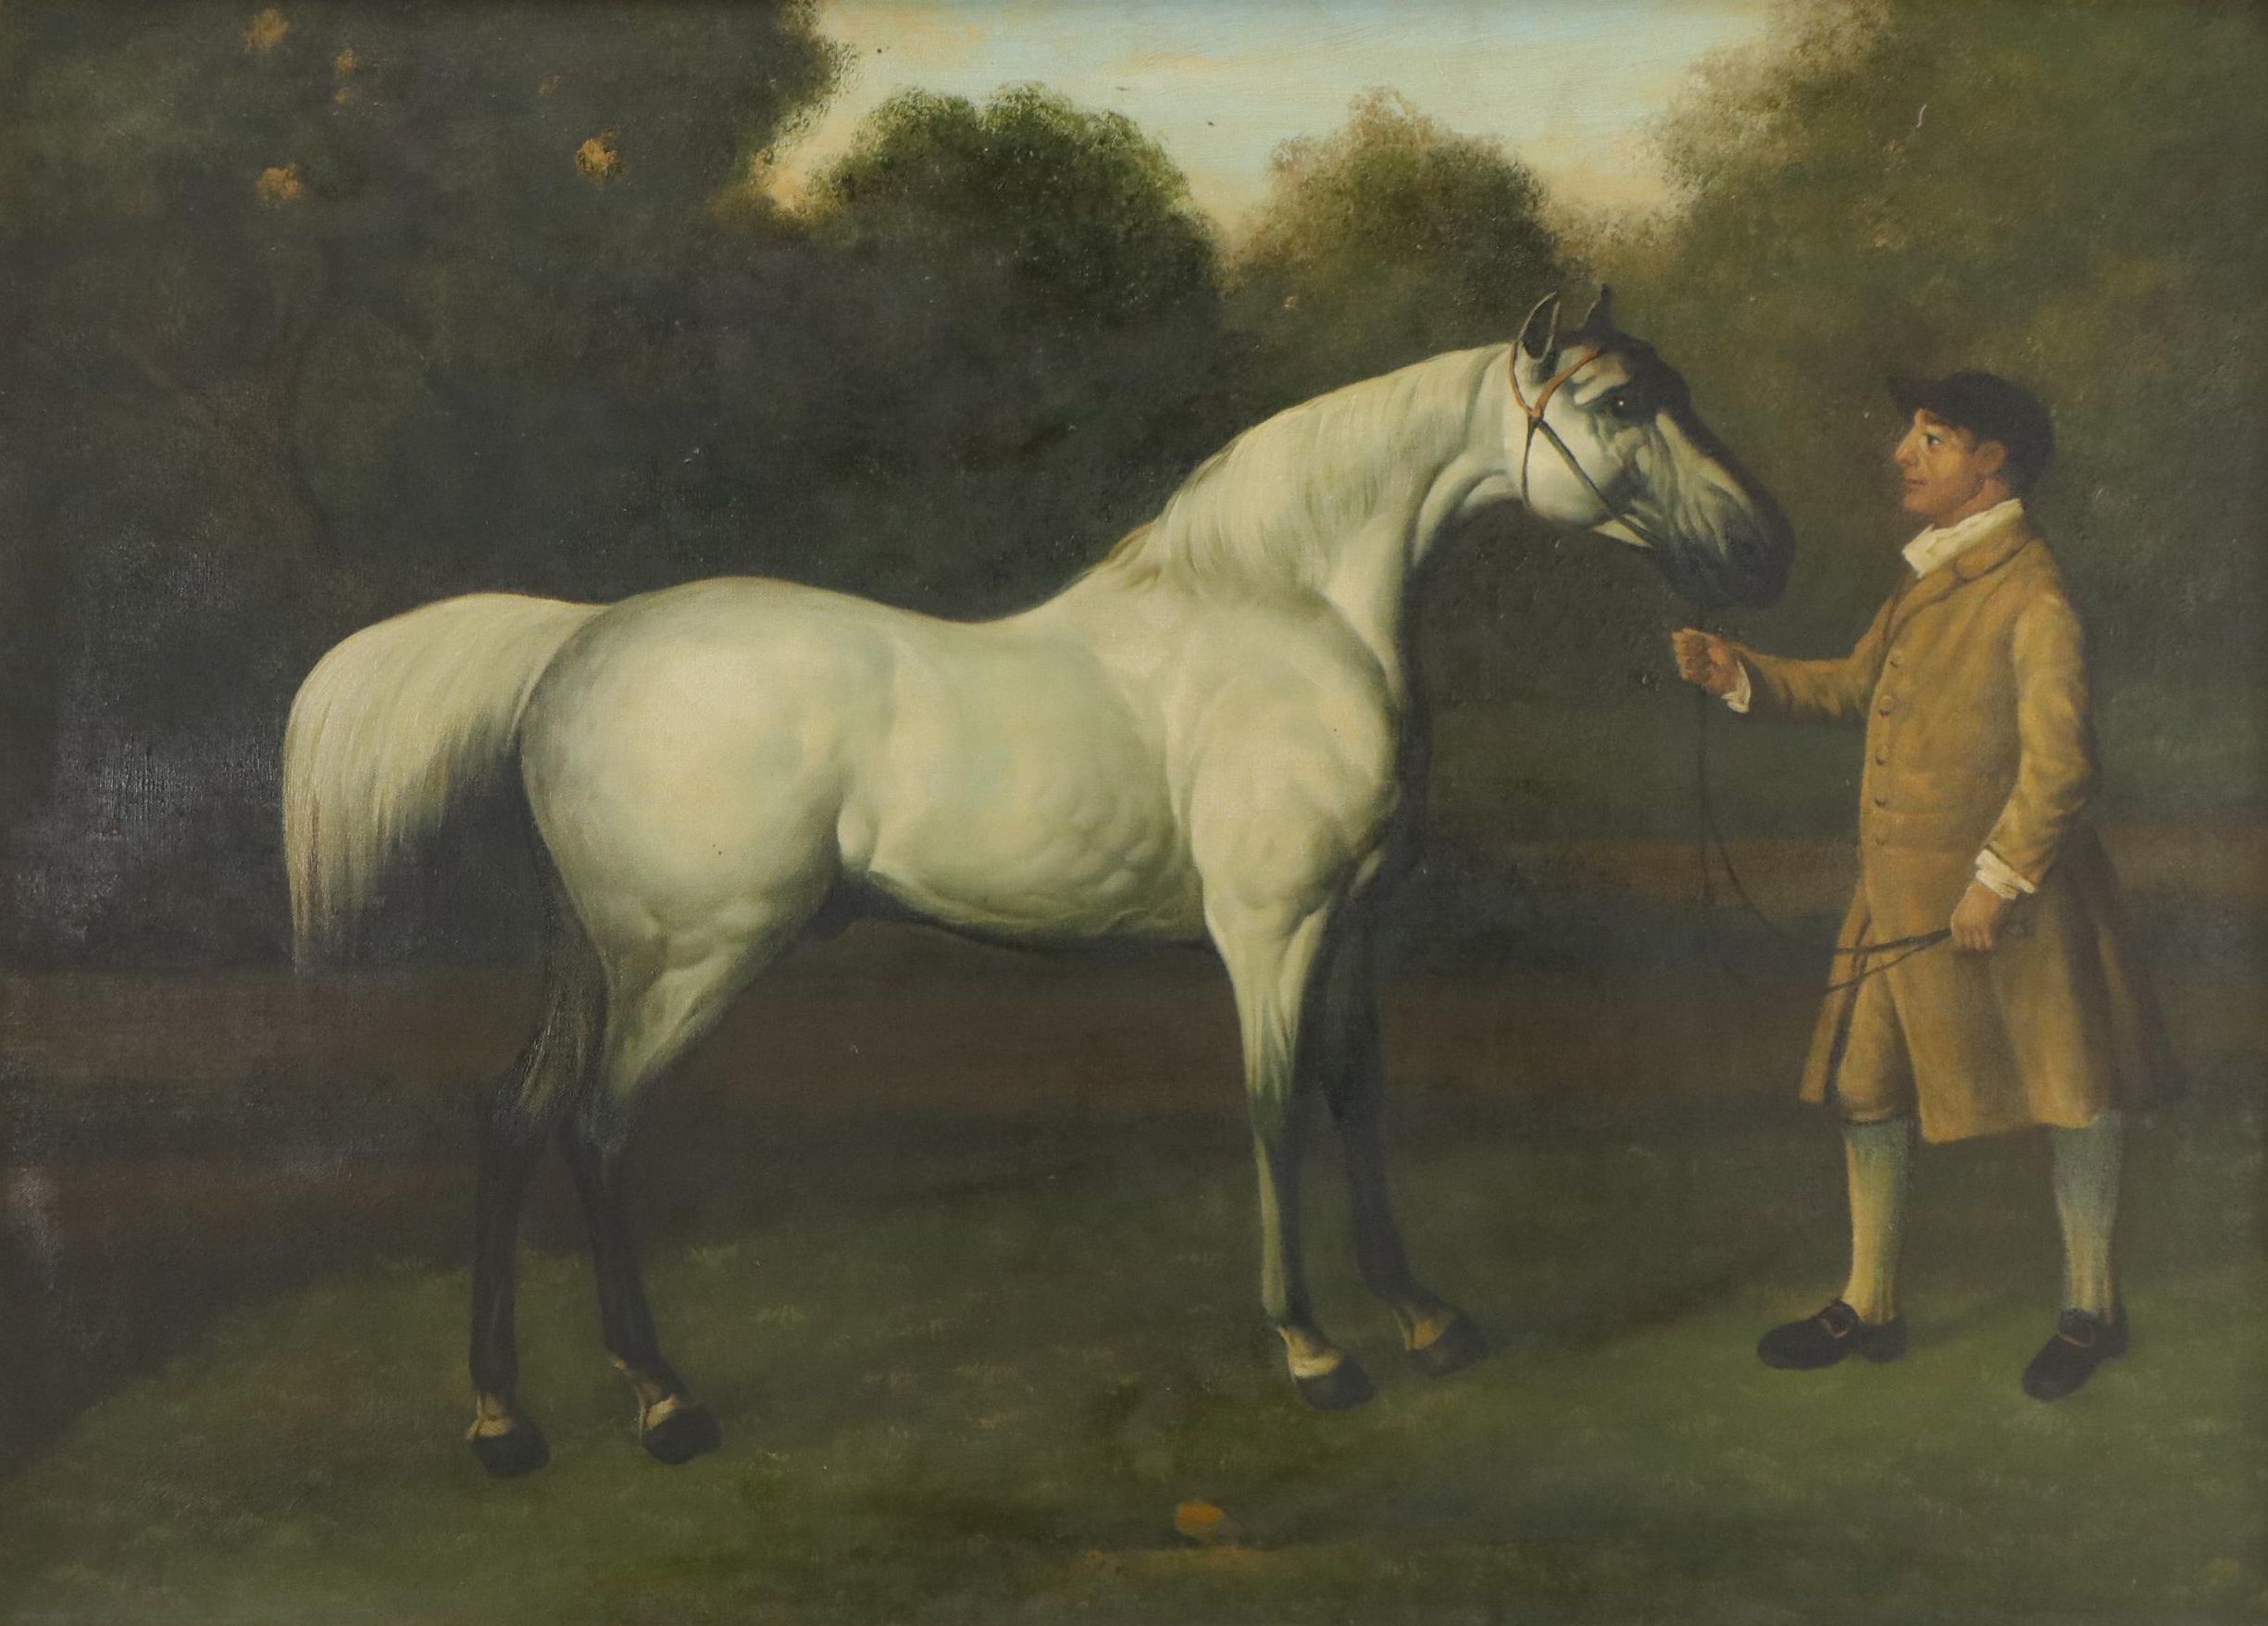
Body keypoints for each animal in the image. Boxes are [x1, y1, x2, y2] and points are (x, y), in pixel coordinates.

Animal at [283, 288, 1791, 1477]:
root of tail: (577, 641)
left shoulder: (1354, 927)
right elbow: (1273, 1109)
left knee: (512, 1120)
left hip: (598, 956)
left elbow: (1354, 1100)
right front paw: (1312, 1349)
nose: (1763, 549)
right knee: (596, 1131)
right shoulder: (1272, 932)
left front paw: (1425, 1318)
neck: (1286, 619)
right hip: (691, 958)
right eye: (1616, 401)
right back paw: (663, 1403)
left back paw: (503, 1422)